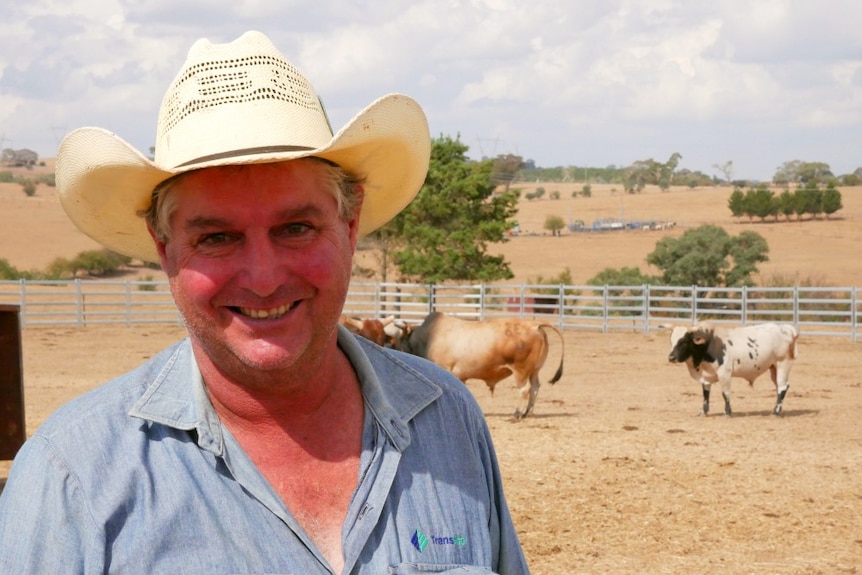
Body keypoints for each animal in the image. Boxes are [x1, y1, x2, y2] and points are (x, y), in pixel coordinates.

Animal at [392, 312, 568, 420]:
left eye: (400, 340)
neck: (428, 337)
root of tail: (534, 325)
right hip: (534, 370)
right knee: (535, 388)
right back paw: (528, 412)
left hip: (521, 371)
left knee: (525, 390)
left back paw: (517, 413)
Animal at [668, 322, 804, 416]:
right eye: (672, 341)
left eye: (684, 341)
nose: (671, 357)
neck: (710, 343)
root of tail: (784, 329)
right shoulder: (706, 377)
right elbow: (706, 394)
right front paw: (704, 412)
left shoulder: (725, 374)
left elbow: (725, 393)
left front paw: (727, 412)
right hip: (773, 368)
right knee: (779, 387)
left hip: (783, 364)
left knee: (782, 387)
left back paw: (776, 411)